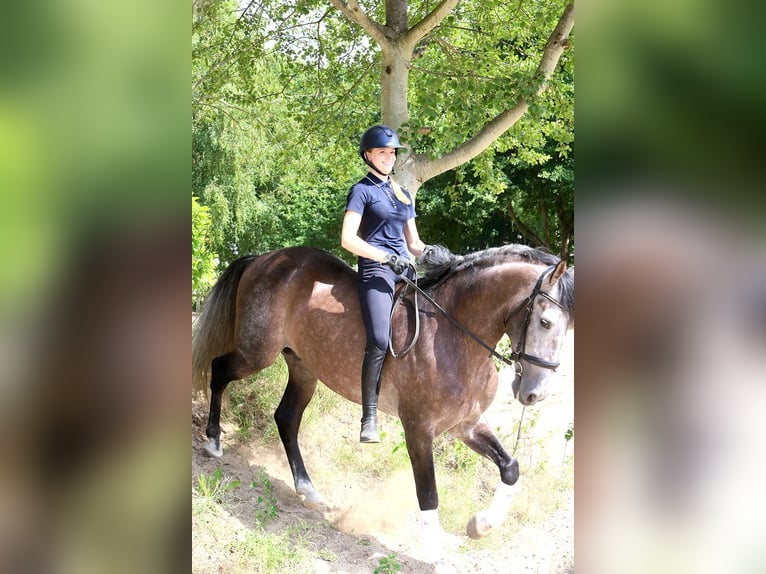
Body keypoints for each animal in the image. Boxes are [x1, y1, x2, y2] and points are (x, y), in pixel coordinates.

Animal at [192, 244, 574, 567]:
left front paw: (480, 525)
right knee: (219, 370)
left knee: (285, 418)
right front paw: (437, 554)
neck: (452, 336)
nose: (534, 394)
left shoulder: (466, 424)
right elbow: (428, 493)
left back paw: (308, 490)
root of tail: (265, 259)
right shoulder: (419, 429)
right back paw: (213, 440)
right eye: (545, 322)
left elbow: (510, 467)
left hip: (303, 367)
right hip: (257, 352)